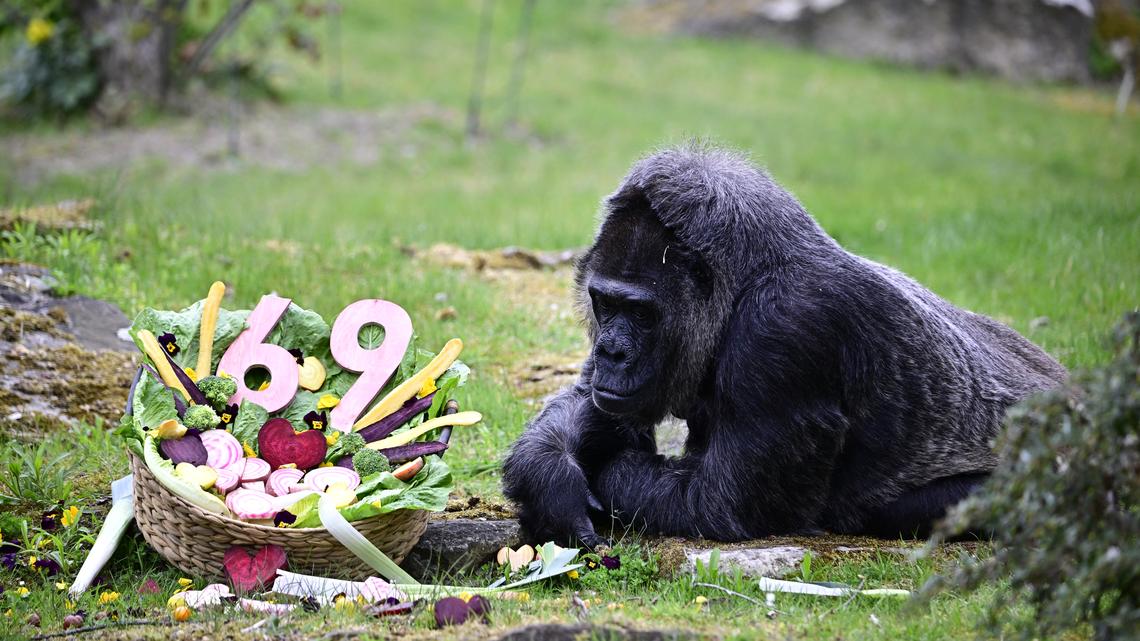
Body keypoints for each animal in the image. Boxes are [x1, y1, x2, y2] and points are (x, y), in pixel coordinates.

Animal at [501, 144, 1066, 546]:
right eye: (604, 303)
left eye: (641, 313)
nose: (611, 353)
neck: (746, 278)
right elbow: (591, 404)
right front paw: (552, 481)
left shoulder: (785, 330)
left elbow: (717, 504)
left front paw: (609, 473)